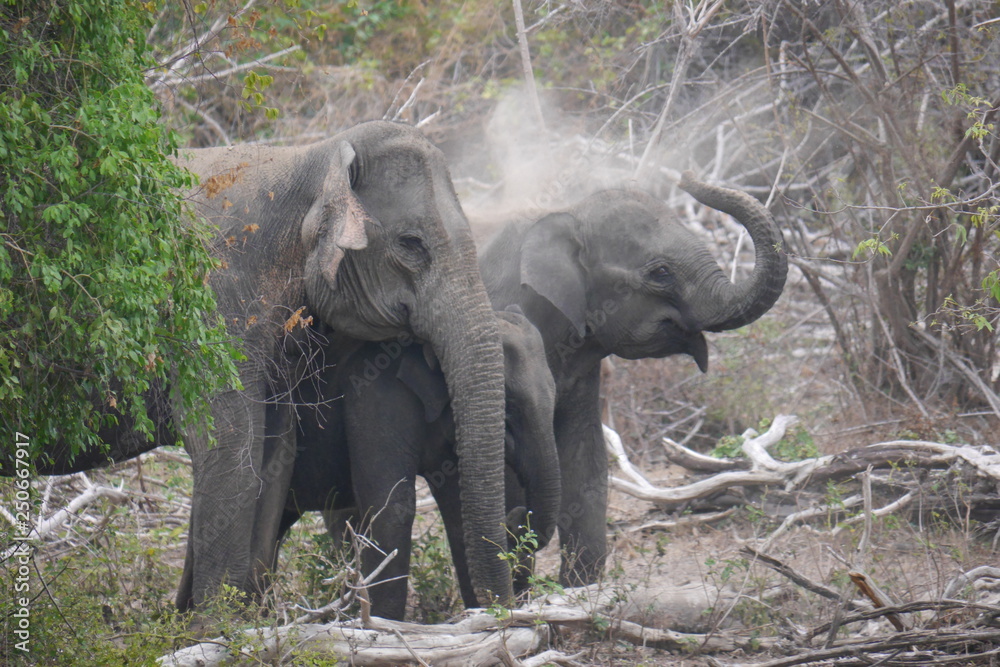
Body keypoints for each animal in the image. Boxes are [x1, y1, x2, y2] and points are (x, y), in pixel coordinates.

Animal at [6, 120, 514, 613]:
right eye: (411, 245)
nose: (497, 610)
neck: (311, 159)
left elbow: (273, 451)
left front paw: (227, 624)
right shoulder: (212, 299)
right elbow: (229, 448)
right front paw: (215, 628)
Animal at [269, 307, 561, 620]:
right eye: (509, 409)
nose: (515, 518)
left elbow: (457, 511)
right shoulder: (377, 396)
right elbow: (390, 506)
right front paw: (381, 622)